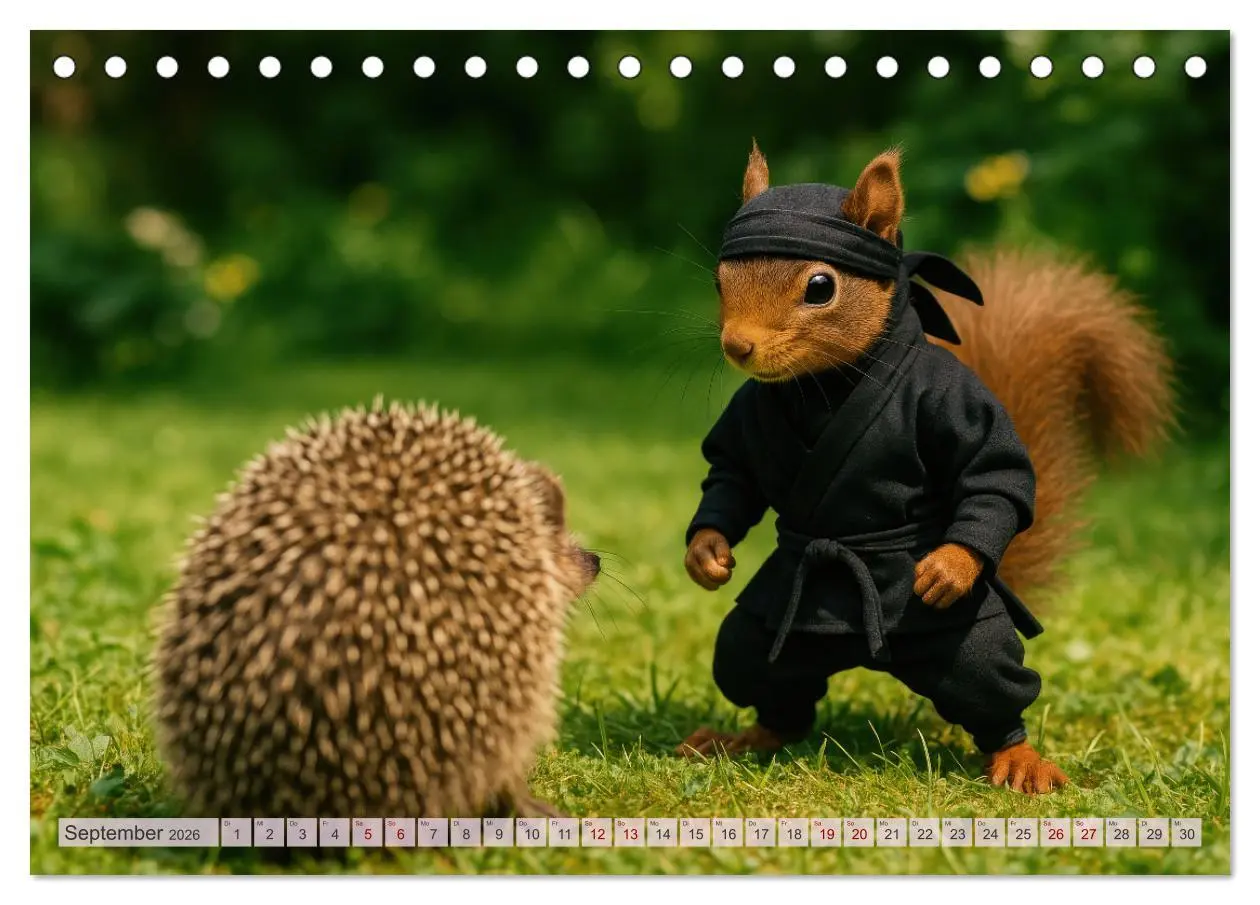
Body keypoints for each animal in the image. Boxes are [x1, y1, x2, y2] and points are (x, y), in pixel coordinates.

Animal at [677, 143, 1173, 795]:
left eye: (820, 286)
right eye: (718, 280)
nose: (738, 346)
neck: (827, 383)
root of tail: (869, 657)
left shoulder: (951, 400)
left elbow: (991, 475)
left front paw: (948, 567)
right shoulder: (749, 418)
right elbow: (733, 475)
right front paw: (706, 553)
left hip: (965, 640)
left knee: (986, 679)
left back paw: (1017, 757)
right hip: (773, 636)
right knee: (760, 674)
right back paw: (748, 737)